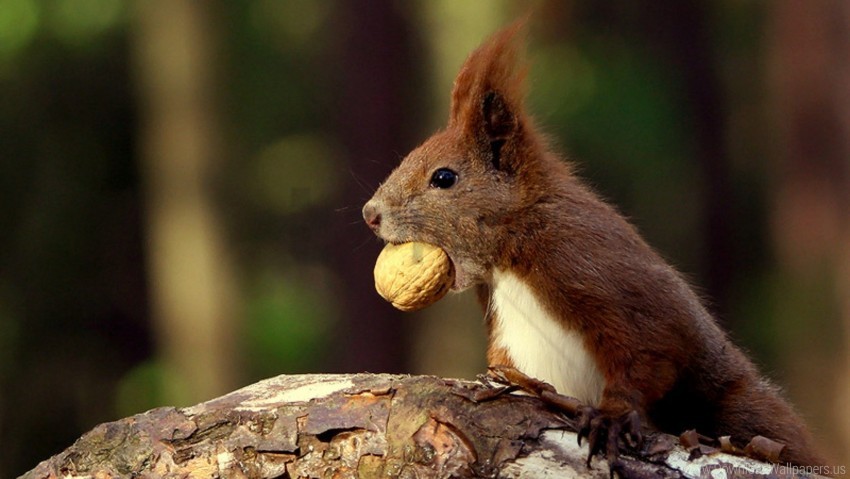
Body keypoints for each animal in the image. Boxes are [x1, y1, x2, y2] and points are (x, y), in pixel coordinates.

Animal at [362, 20, 824, 470]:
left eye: (444, 178)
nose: (370, 214)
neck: (512, 251)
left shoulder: (589, 267)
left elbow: (649, 350)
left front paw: (613, 416)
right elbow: (507, 368)